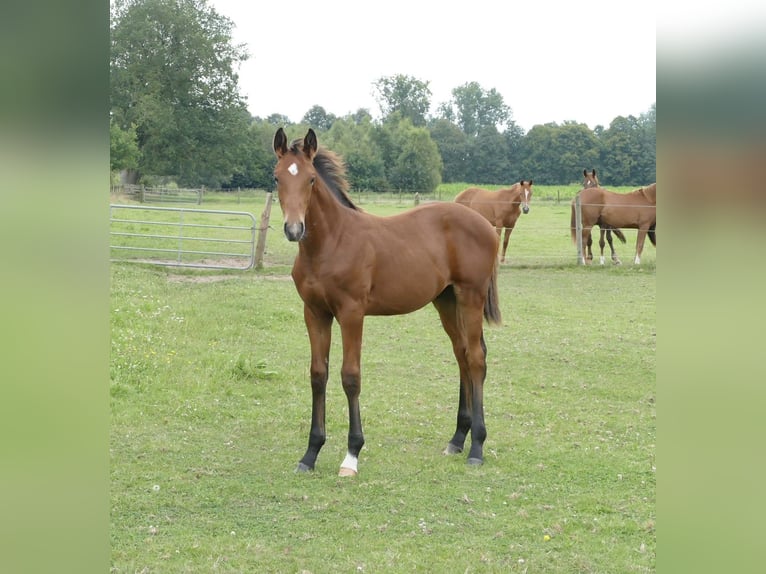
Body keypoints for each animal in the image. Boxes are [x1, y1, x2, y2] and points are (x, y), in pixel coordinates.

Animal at [272, 128, 504, 480]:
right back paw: (456, 440)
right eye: (276, 178)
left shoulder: (352, 313)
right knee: (463, 355)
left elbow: (350, 376)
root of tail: (485, 224)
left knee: (476, 358)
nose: (293, 229)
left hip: (470, 295)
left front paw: (351, 455)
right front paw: (310, 453)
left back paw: (476, 447)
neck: (332, 243)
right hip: (446, 300)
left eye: (311, 179)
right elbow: (318, 374)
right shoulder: (314, 313)